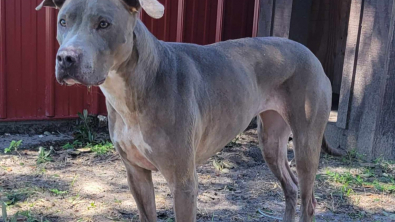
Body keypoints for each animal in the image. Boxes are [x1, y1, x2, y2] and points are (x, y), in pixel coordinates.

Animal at [36, 0, 346, 221]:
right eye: (63, 21)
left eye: (104, 23)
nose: (66, 58)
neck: (135, 87)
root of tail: (310, 53)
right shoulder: (136, 174)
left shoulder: (184, 182)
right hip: (271, 140)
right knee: (290, 187)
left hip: (306, 143)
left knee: (308, 200)